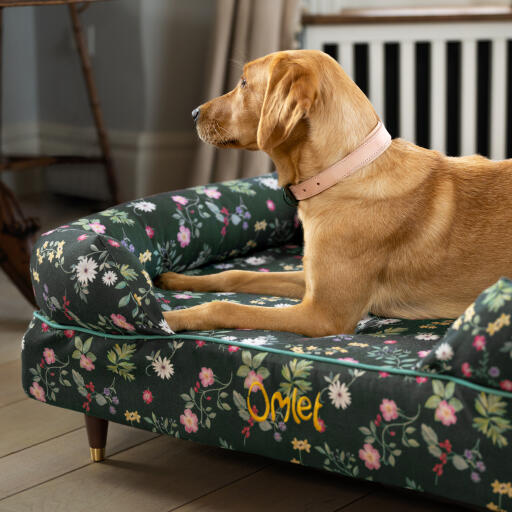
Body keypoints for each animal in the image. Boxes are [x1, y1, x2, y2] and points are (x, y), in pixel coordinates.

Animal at [158, 48, 512, 336]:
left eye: (244, 83)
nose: (193, 113)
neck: (342, 173)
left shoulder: (323, 315)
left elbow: (225, 306)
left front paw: (166, 318)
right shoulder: (311, 281)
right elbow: (236, 274)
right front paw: (175, 279)